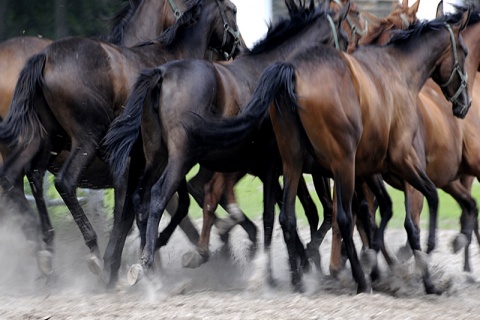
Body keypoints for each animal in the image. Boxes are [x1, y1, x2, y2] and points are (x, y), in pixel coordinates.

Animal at [0, 0, 242, 288]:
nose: (240, 48)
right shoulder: (143, 164)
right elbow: (138, 211)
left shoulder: (145, 162)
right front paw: (124, 264)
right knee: (61, 182)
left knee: (27, 180)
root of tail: (44, 57)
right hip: (85, 139)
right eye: (233, 10)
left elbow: (145, 209)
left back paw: (46, 252)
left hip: (47, 140)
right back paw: (89, 249)